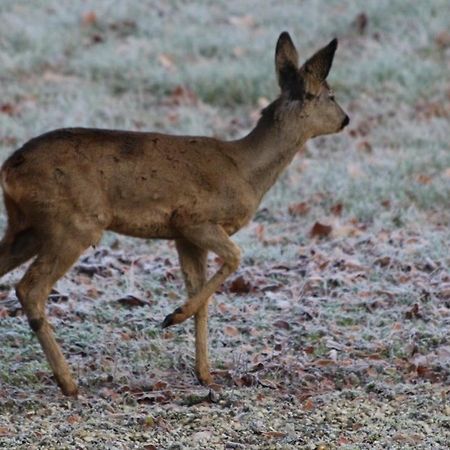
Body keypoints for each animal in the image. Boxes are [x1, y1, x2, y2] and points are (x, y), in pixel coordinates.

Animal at [0, 32, 348, 398]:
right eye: (331, 96)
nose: (346, 119)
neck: (245, 170)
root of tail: (9, 169)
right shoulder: (193, 219)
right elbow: (235, 258)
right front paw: (173, 317)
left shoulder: (183, 237)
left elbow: (202, 295)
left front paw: (205, 375)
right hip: (73, 223)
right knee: (30, 289)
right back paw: (69, 383)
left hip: (26, 226)